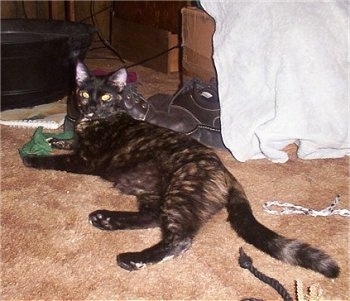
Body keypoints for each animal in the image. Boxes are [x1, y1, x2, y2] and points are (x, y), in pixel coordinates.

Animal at [21, 61, 340, 276]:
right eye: (85, 95)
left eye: (106, 97)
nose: (90, 108)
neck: (94, 122)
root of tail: (225, 170)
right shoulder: (80, 146)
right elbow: (66, 143)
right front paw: (52, 140)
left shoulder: (85, 161)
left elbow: (57, 161)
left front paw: (33, 158)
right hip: (152, 188)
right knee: (151, 218)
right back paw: (107, 219)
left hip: (181, 190)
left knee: (179, 237)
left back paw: (133, 258)